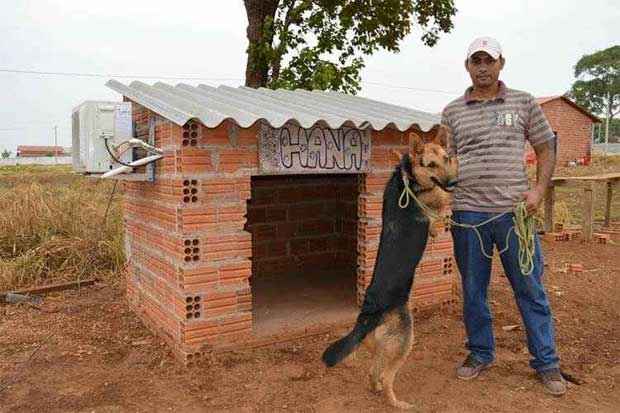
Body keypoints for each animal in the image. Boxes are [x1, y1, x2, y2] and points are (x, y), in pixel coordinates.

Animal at [322, 126, 458, 408]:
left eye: (446, 159)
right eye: (431, 164)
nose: (453, 183)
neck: (407, 179)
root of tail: (367, 316)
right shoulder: (434, 197)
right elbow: (442, 202)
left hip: (380, 346)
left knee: (373, 371)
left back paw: (375, 389)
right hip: (406, 339)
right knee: (386, 377)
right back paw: (399, 403)